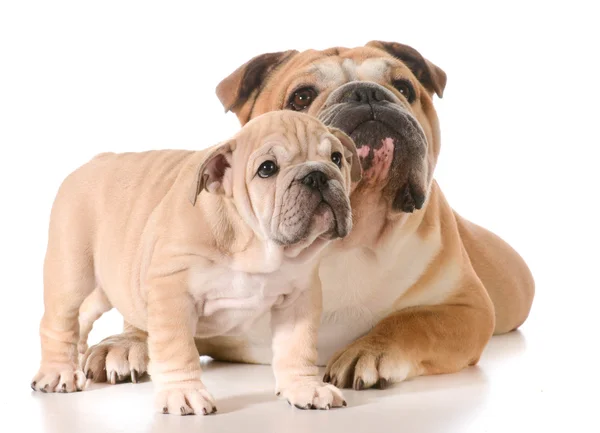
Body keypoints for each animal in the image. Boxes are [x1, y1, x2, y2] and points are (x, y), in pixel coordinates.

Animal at [30, 109, 358, 414]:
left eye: (336, 158)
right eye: (267, 169)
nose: (317, 174)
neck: (255, 242)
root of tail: (93, 161)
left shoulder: (299, 300)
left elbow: (297, 346)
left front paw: (305, 387)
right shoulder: (172, 293)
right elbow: (178, 348)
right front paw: (182, 393)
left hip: (106, 285)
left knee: (85, 313)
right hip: (72, 272)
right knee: (60, 321)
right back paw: (58, 372)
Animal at [76, 40, 536, 392]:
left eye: (404, 86)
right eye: (300, 96)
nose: (367, 93)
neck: (337, 243)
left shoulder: (466, 307)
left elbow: (416, 322)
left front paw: (369, 350)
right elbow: (153, 314)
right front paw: (125, 342)